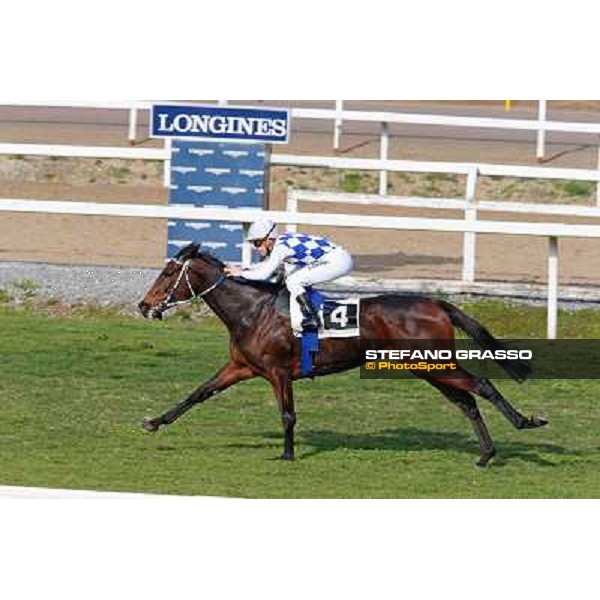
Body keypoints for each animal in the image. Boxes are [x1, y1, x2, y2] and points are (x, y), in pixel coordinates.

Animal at [137, 241, 548, 466]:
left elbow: (288, 415)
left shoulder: (278, 373)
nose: (143, 306)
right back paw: (485, 454)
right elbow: (198, 393)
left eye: (168, 273)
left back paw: (525, 422)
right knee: (466, 401)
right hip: (426, 366)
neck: (252, 310)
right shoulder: (241, 366)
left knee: (481, 386)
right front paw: (154, 422)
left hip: (433, 363)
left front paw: (287, 455)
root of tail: (434, 302)